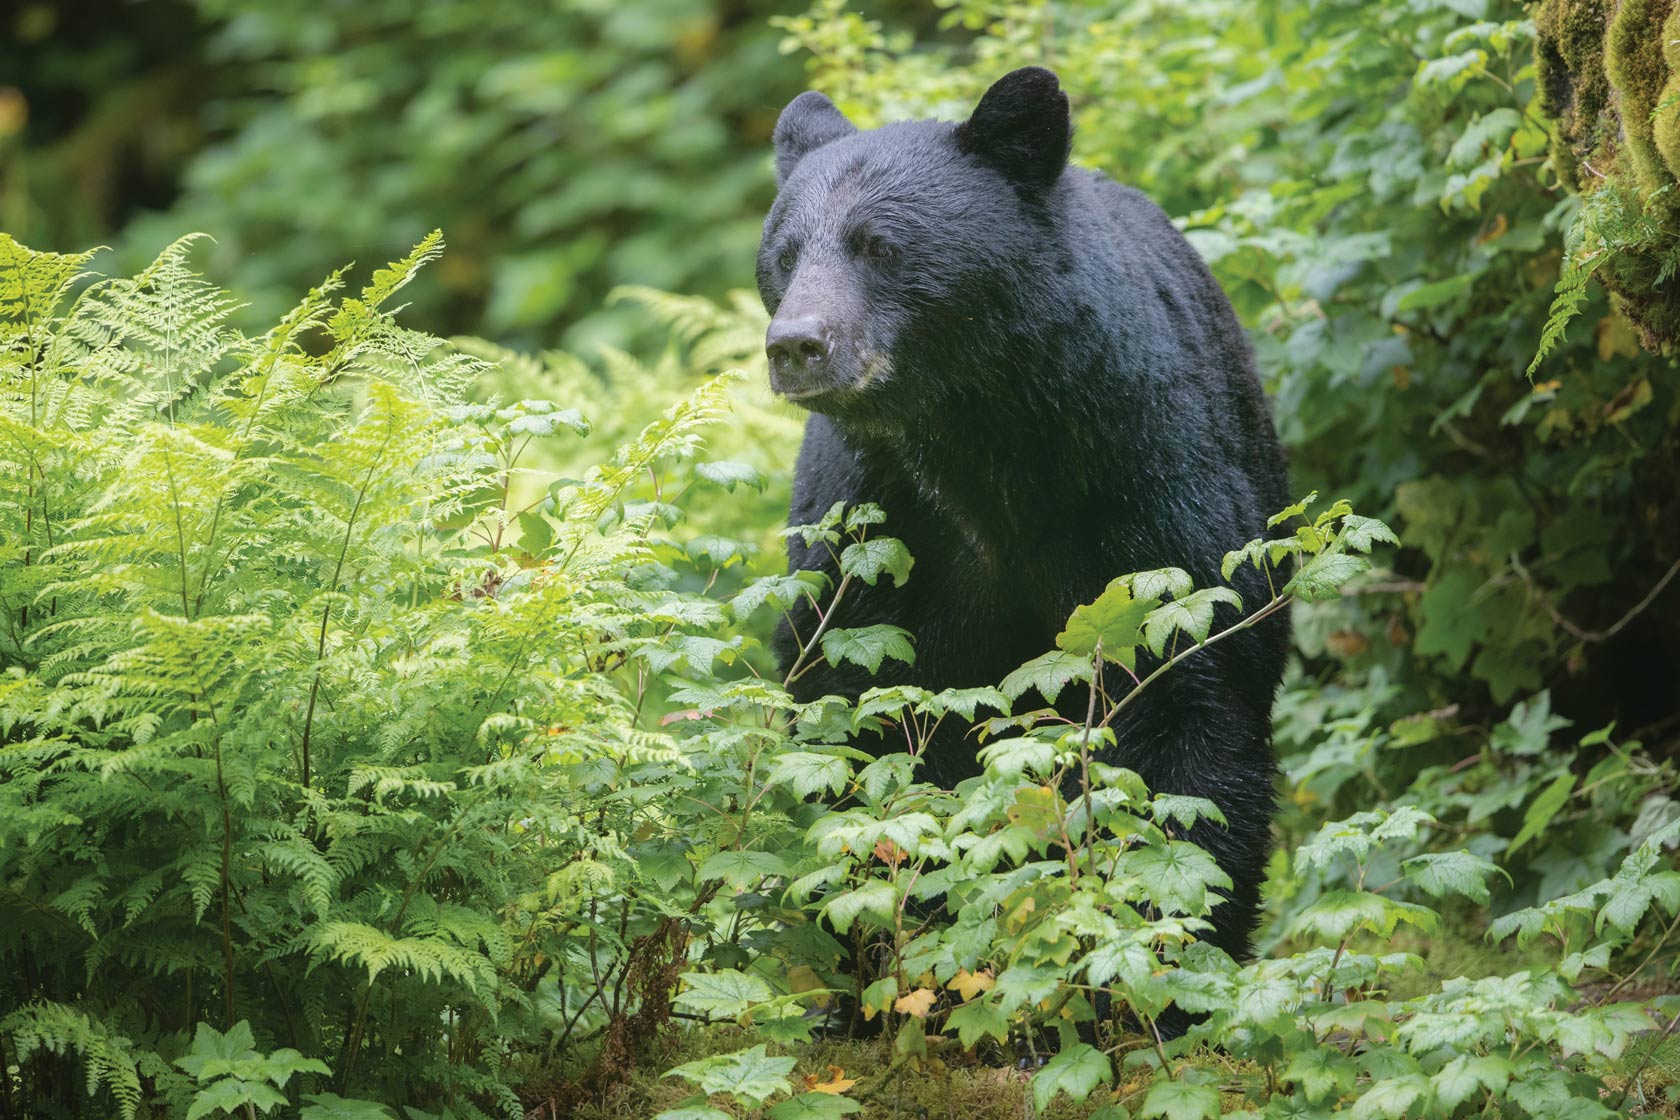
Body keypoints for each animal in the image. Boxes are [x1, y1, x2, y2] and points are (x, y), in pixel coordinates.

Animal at [756, 67, 1292, 970]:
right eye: (784, 255)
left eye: (880, 246)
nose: (796, 344)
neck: (980, 433)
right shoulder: (871, 519)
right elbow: (865, 710)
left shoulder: (1149, 473)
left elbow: (1193, 690)